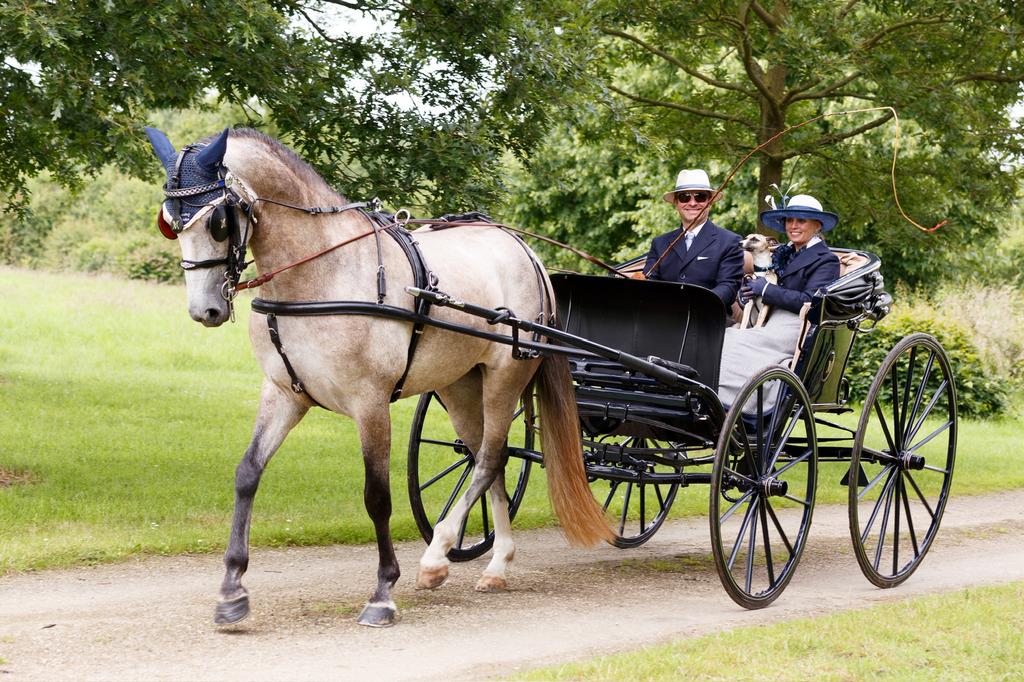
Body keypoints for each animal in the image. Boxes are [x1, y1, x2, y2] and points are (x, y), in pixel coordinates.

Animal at [144, 126, 612, 627]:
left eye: (218, 221)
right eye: (169, 221)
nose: (205, 310)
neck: (319, 273)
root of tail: (524, 251)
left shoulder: (369, 402)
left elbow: (377, 495)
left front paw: (384, 591)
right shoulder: (284, 394)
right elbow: (248, 473)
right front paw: (232, 588)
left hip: (505, 377)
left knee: (487, 460)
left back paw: (438, 555)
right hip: (461, 384)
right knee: (493, 458)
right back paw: (496, 564)